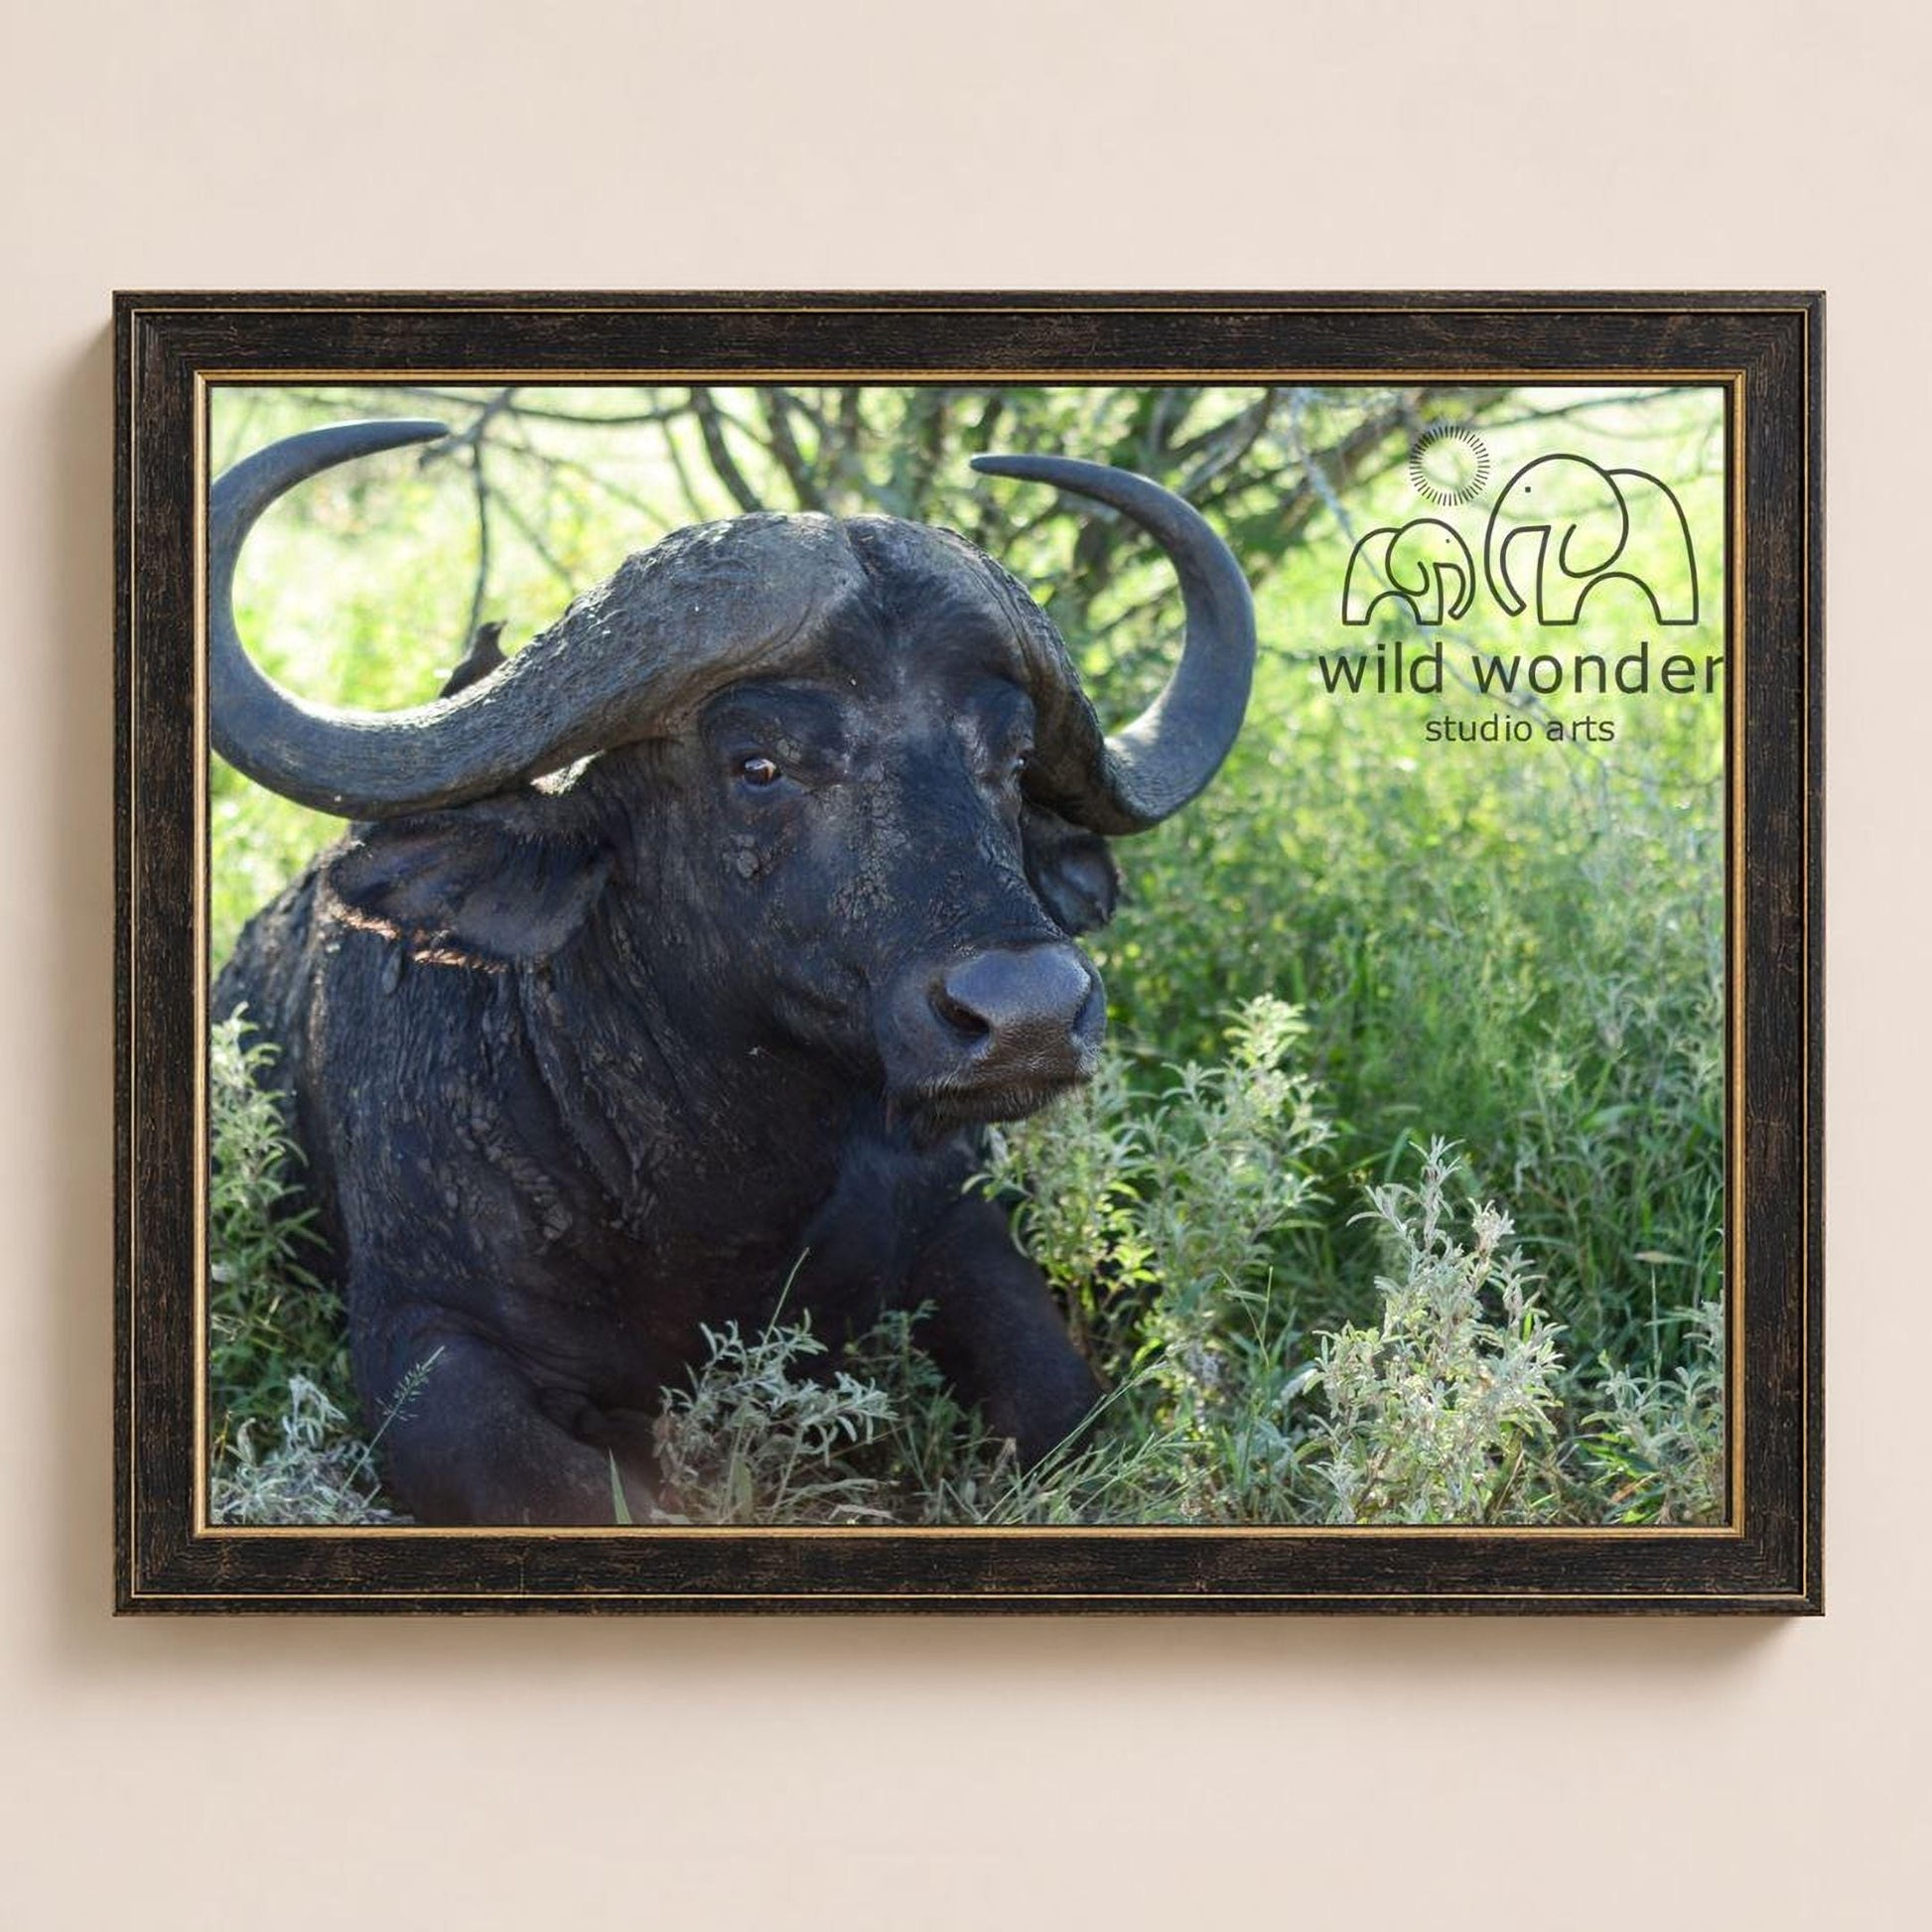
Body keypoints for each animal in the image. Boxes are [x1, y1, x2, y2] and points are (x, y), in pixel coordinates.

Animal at [212, 418, 1256, 1524]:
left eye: (1011, 763)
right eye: (759, 764)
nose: (1030, 1016)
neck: (709, 1193)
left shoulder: (962, 1226)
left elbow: (1063, 1408)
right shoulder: (422, 1343)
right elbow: (576, 1490)